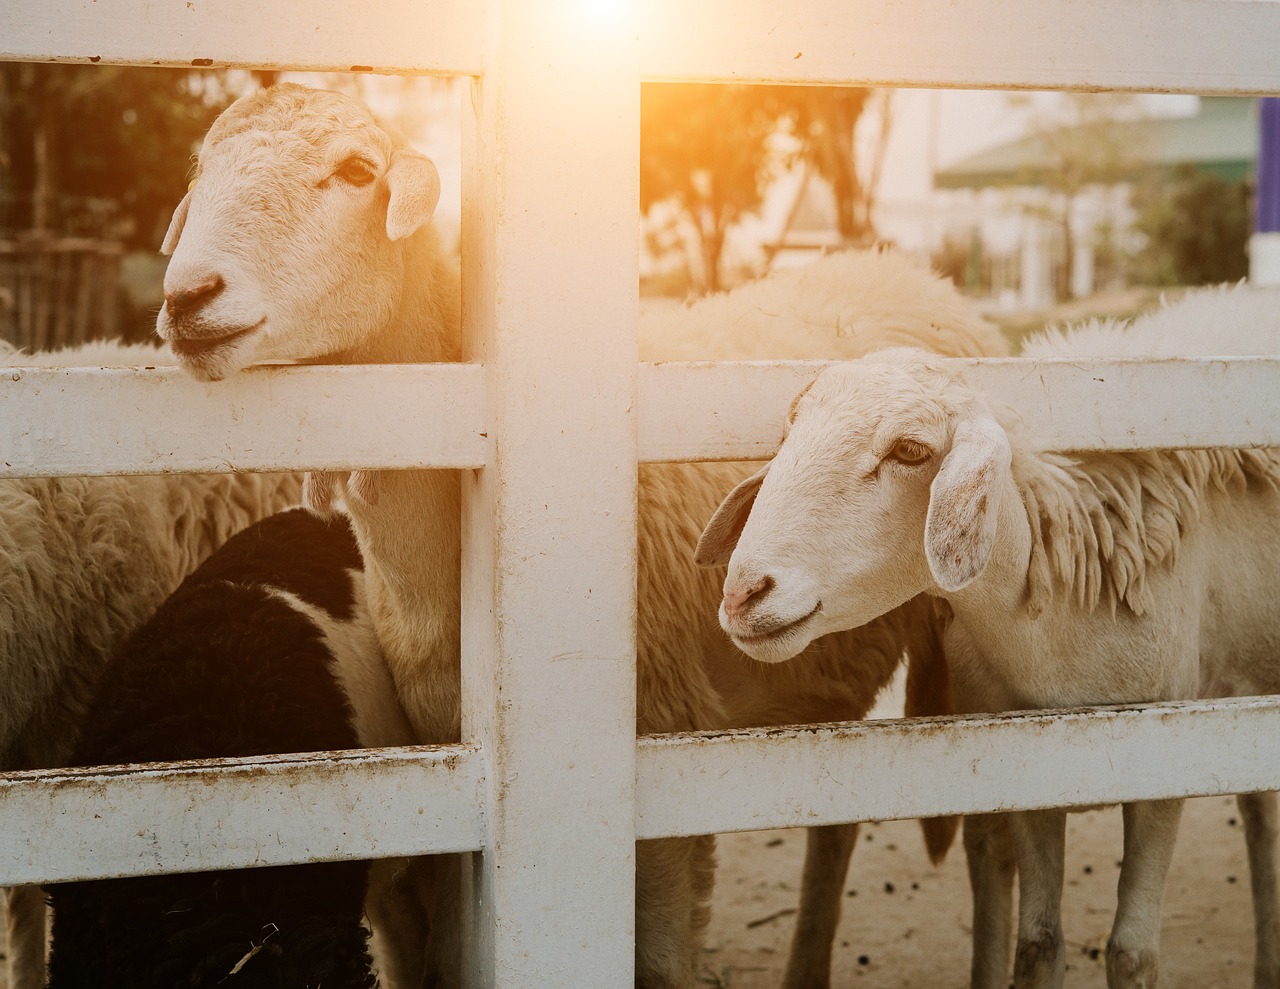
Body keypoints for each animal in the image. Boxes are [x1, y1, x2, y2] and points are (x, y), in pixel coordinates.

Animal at [152, 85, 1008, 987]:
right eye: (201, 170)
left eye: (356, 171)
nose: (188, 297)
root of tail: (903, 266)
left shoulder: (659, 744)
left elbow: (662, 962)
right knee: (839, 808)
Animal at [696, 280, 1280, 987]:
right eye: (789, 433)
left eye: (910, 450)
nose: (743, 592)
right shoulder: (1024, 761)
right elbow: (1039, 945)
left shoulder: (1166, 758)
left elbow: (1131, 951)